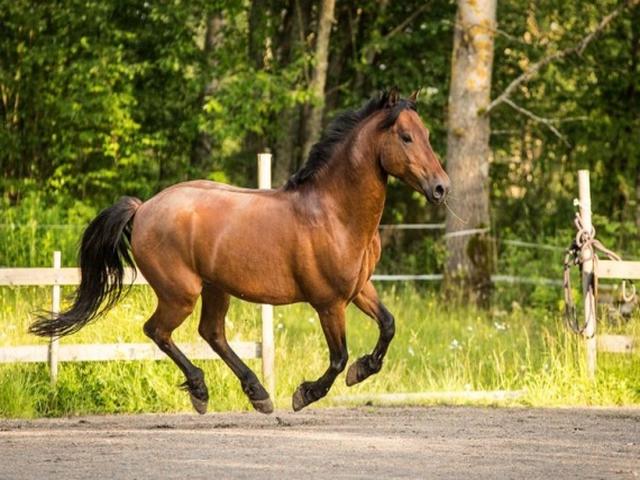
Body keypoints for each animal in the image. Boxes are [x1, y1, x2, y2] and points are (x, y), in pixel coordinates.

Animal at [30, 89, 450, 414]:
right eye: (406, 137)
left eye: (426, 134)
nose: (441, 188)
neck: (334, 212)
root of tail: (144, 207)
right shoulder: (329, 303)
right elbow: (338, 357)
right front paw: (305, 394)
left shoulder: (359, 289)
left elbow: (388, 326)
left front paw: (363, 369)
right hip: (181, 293)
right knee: (158, 331)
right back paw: (203, 391)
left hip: (216, 288)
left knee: (211, 333)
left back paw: (257, 393)